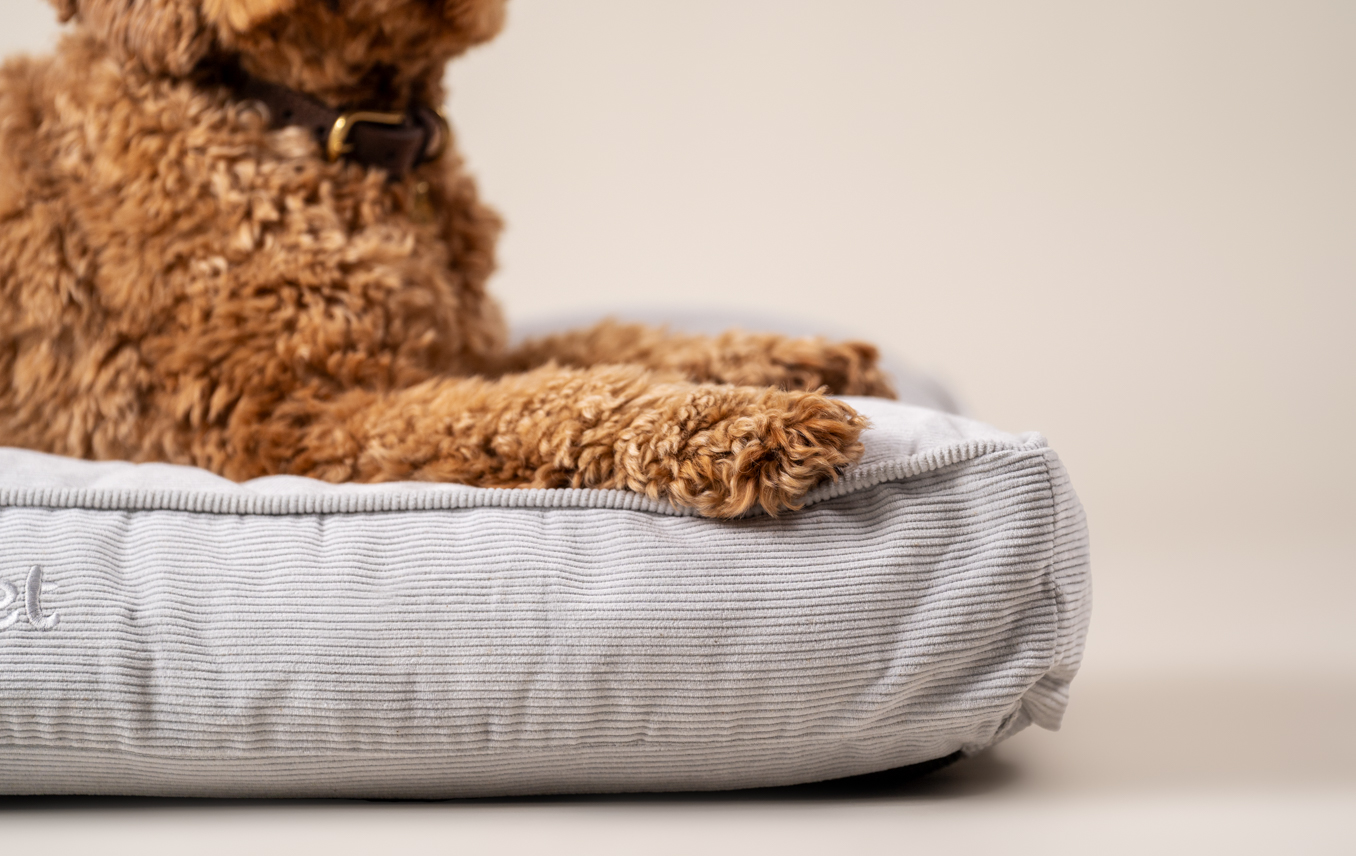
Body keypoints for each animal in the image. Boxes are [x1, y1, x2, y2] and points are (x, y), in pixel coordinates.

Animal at [0, 0, 894, 518]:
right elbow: (540, 405)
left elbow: (607, 349)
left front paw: (790, 359)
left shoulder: (460, 346)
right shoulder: (291, 421)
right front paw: (745, 422)